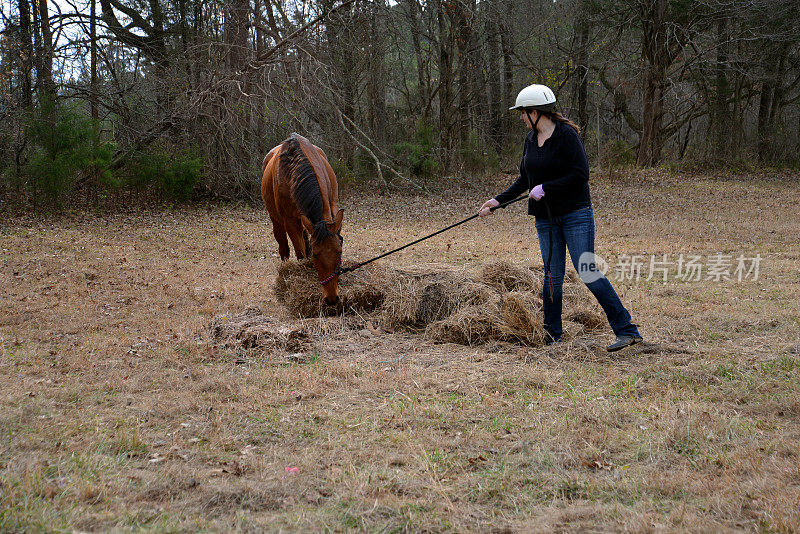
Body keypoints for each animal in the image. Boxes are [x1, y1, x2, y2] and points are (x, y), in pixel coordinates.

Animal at [260, 134, 340, 306]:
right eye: (317, 255)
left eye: (339, 251)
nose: (331, 298)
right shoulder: (290, 221)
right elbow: (300, 253)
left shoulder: (331, 209)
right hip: (277, 220)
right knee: (284, 247)